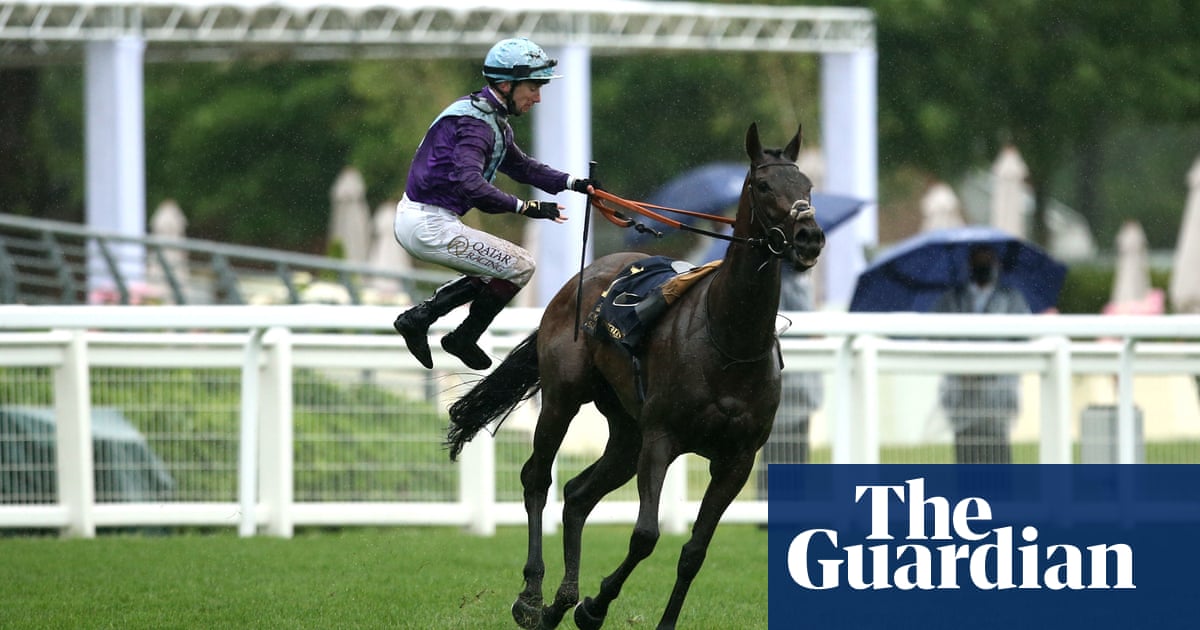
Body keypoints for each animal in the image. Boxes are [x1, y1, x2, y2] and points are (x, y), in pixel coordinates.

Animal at [446, 124, 820, 628]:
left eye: (807, 186)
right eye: (763, 185)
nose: (809, 237)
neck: (729, 337)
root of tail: (579, 280)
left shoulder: (737, 460)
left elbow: (694, 552)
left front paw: (642, 617)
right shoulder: (662, 438)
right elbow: (645, 535)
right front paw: (594, 606)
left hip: (626, 432)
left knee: (578, 494)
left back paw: (560, 602)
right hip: (565, 399)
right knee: (537, 479)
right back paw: (532, 597)